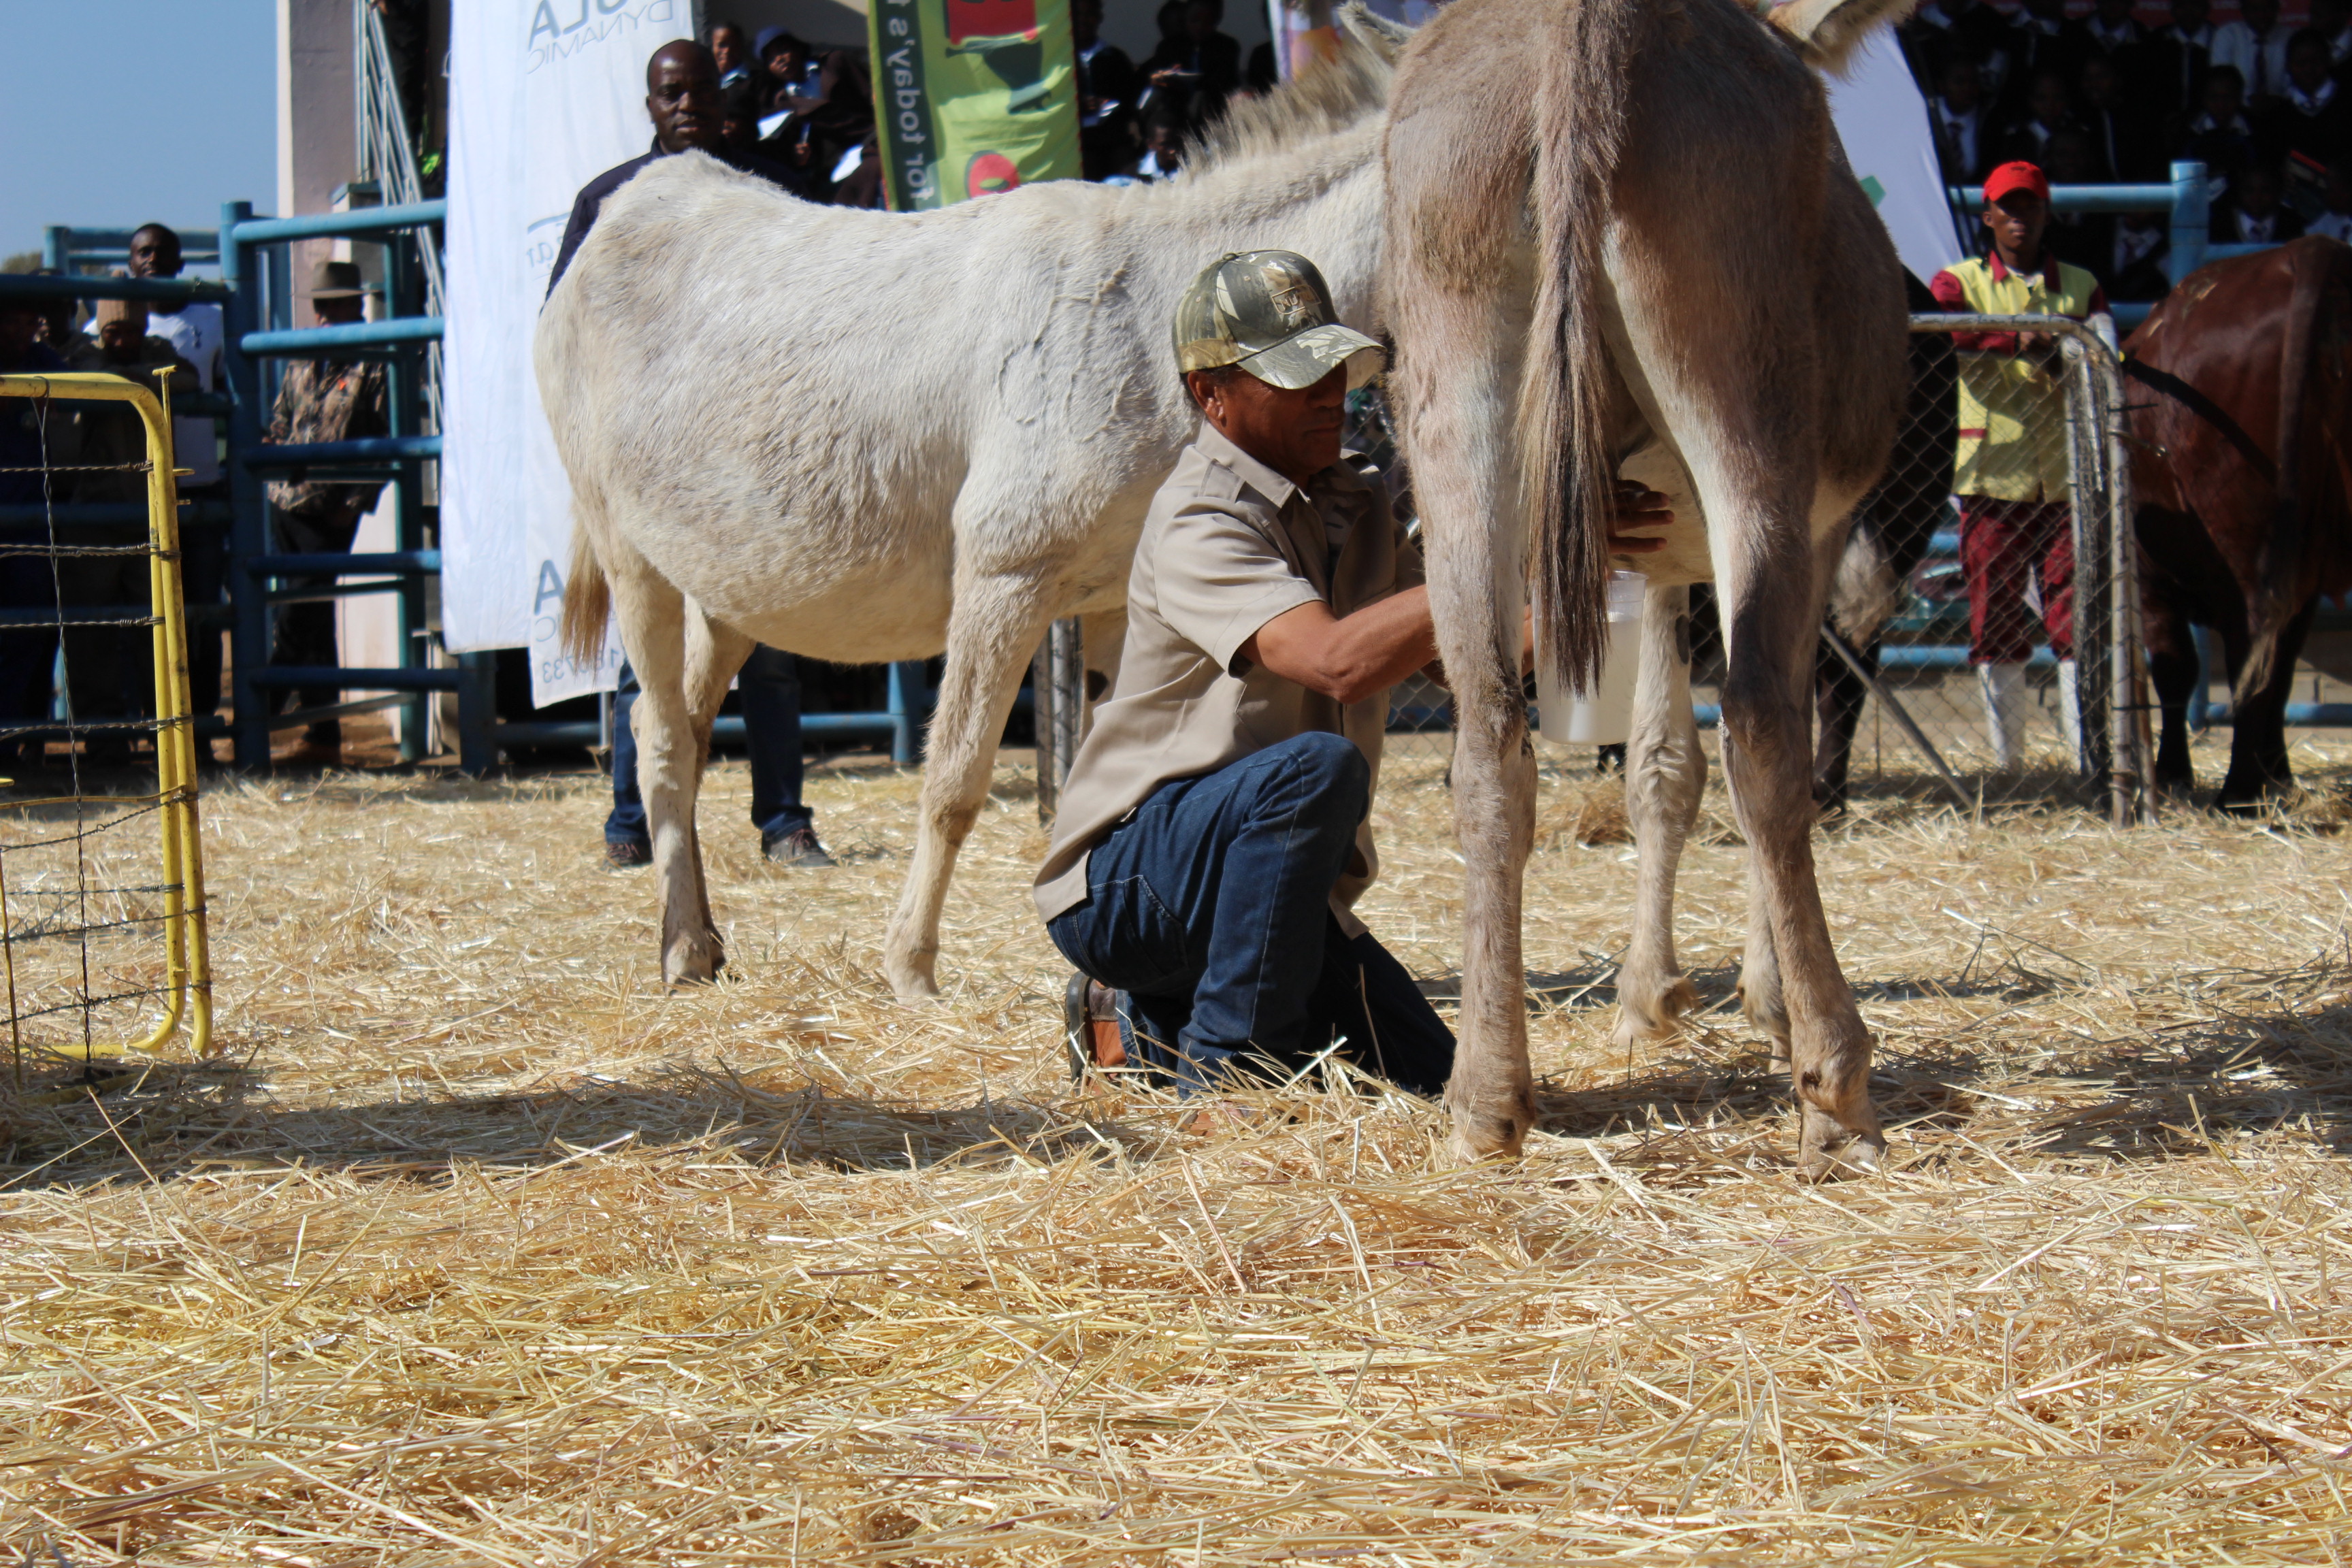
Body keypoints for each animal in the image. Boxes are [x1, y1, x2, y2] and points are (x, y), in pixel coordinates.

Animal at [538, 35, 1398, 991]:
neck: (1153, 316)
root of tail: (633, 198)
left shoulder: (1115, 598)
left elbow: (1110, 769)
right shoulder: (1004, 577)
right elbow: (953, 782)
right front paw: (911, 970)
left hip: (730, 582)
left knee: (687, 732)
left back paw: (700, 935)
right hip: (632, 557)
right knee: (658, 740)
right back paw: (686, 950)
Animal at [1379, 0, 1916, 1176]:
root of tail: (1582, 24)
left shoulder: (1652, 568)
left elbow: (1660, 767)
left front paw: (1645, 997)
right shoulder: (1808, 535)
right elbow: (1729, 749)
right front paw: (1760, 999)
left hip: (1456, 390)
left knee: (1490, 743)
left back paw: (1486, 1100)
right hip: (1745, 390)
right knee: (1764, 725)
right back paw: (1837, 1089)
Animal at [2127, 236, 2352, 808]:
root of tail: (2308, 249)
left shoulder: (2151, 577)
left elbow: (2177, 668)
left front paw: (2173, 771)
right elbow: (2282, 668)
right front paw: (2280, 774)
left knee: (2249, 644)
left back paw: (2239, 793)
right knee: (2268, 658)